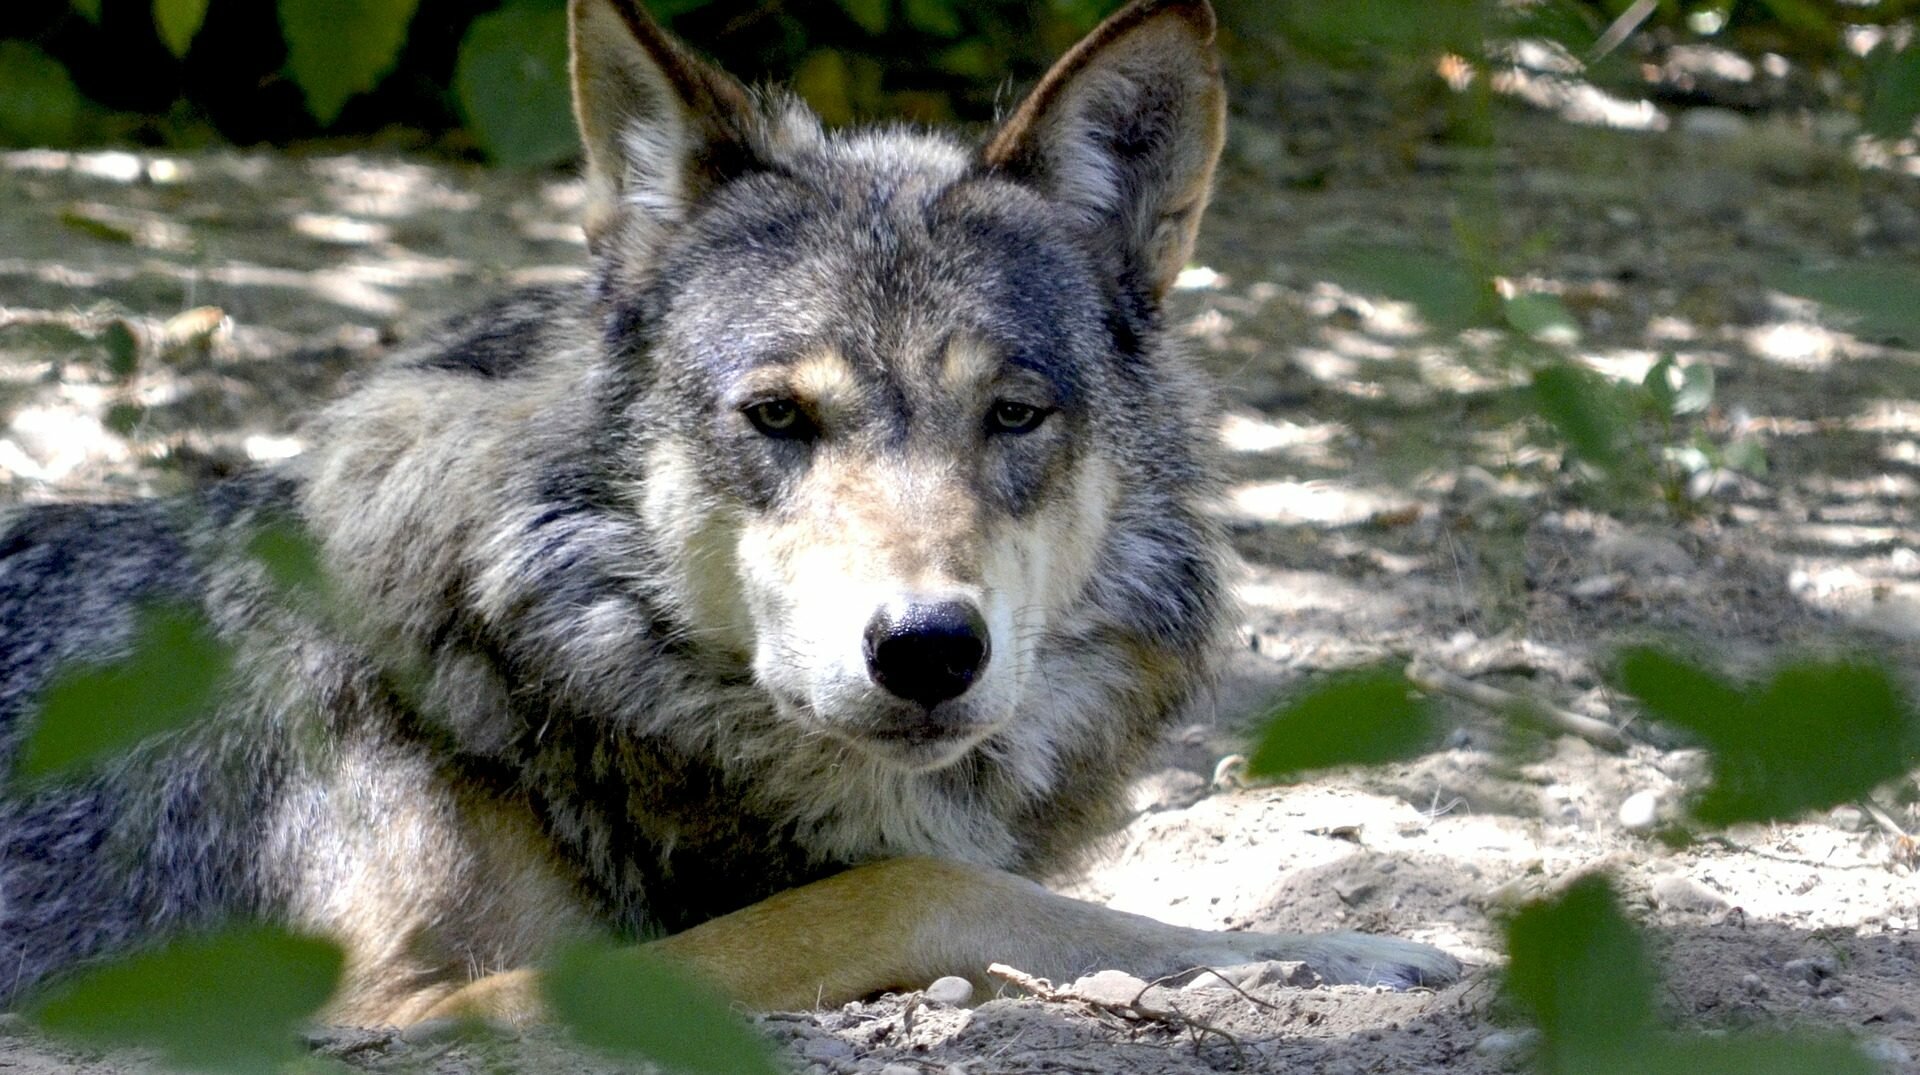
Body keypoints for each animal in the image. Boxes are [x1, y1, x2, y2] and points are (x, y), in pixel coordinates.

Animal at [0, 0, 1458, 1025]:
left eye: (1012, 414)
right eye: (776, 416)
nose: (928, 650)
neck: (540, 674)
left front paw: (1335, 945)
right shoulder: (372, 1011)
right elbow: (910, 886)